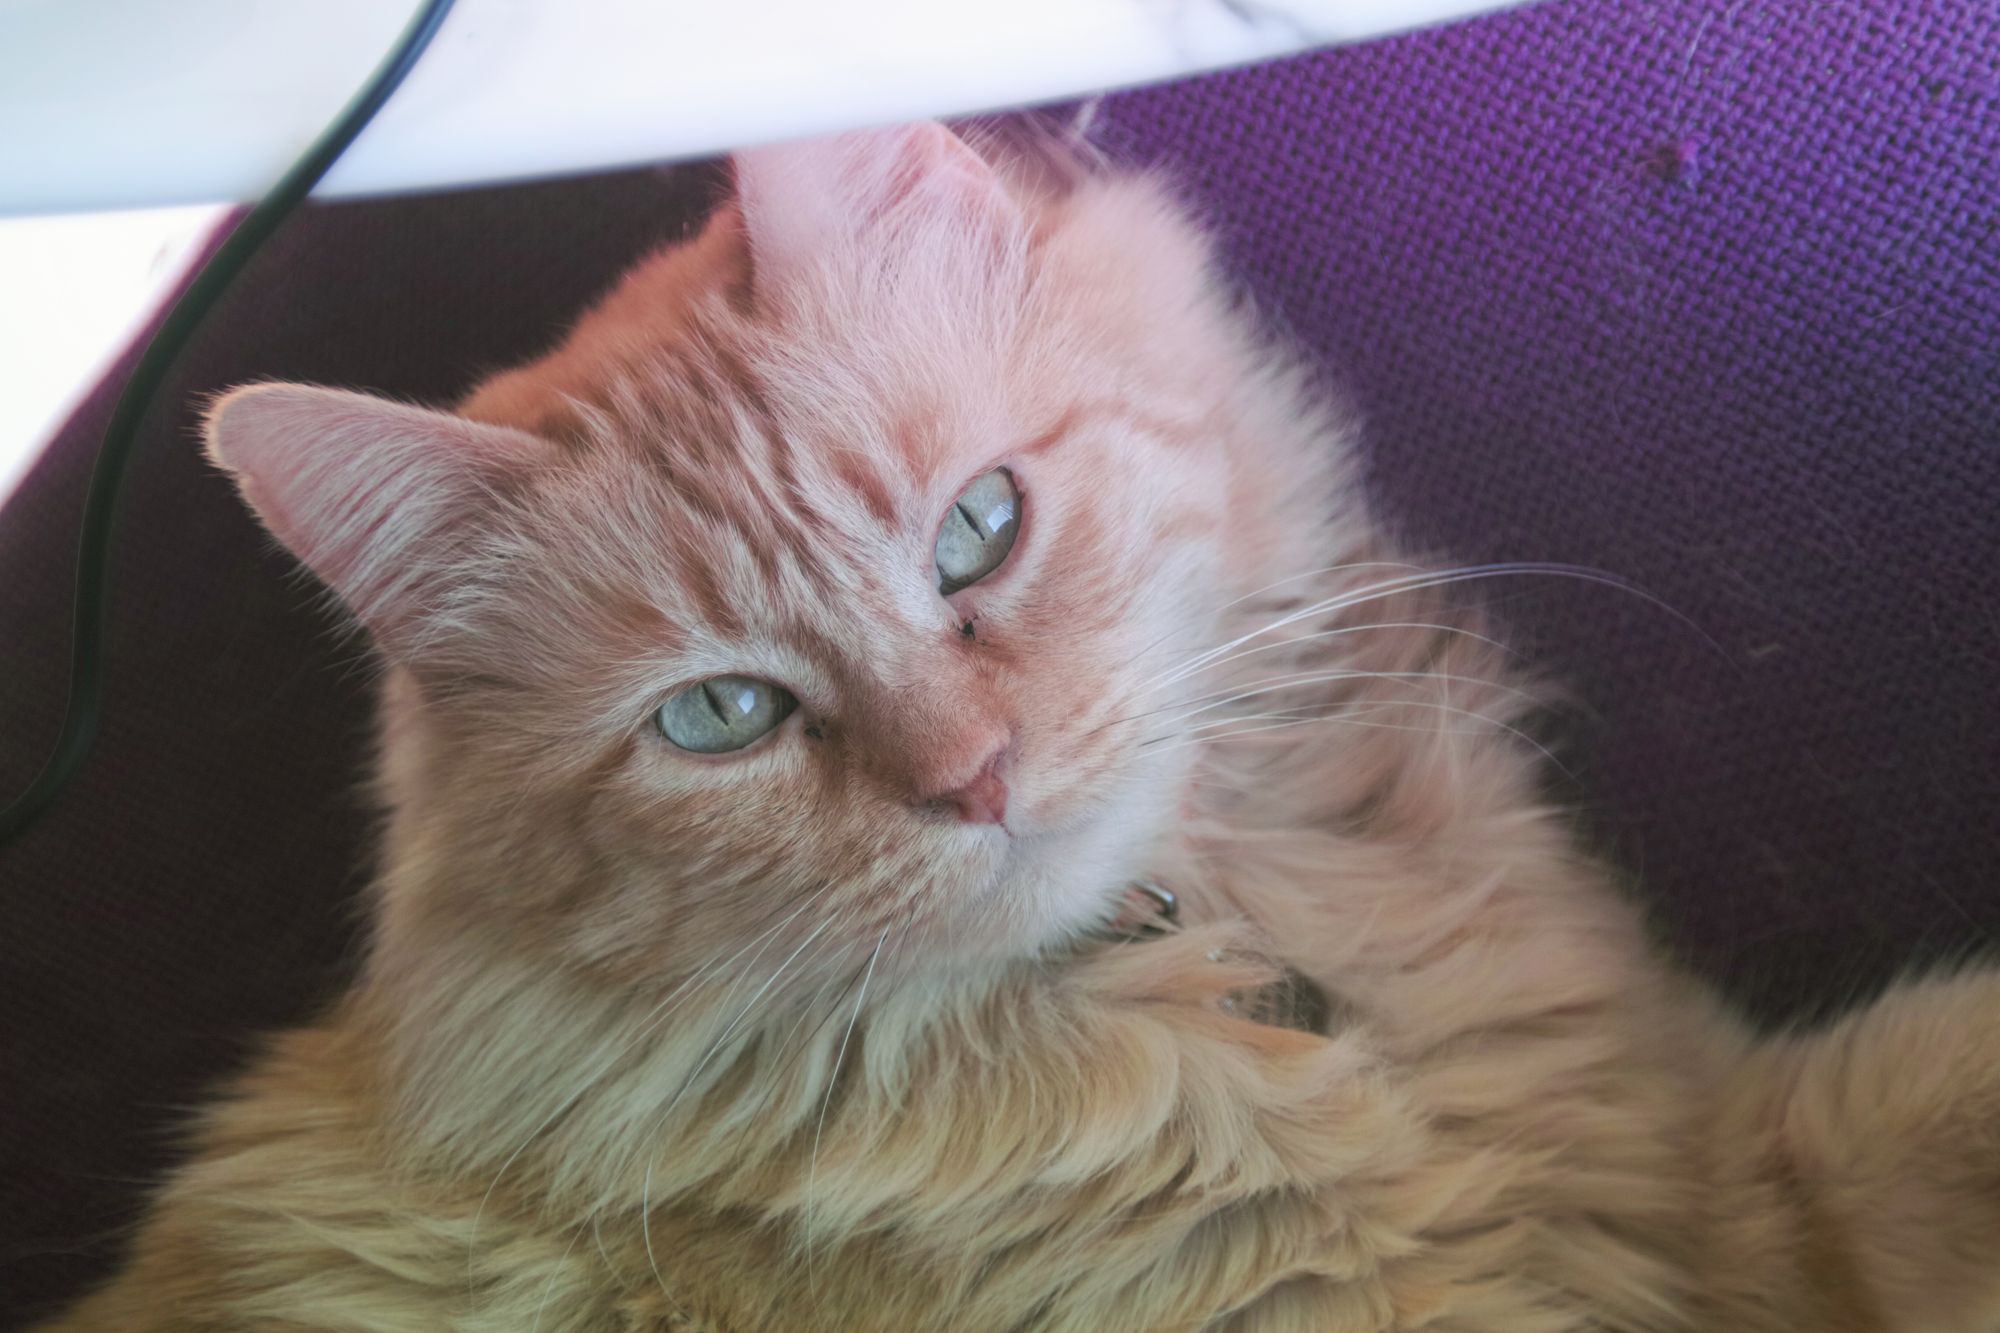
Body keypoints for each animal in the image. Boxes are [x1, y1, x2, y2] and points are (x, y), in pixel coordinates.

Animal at [43, 119, 2000, 1320]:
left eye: (977, 528)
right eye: (723, 715)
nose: (972, 778)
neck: (1227, 980)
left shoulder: (1710, 1171)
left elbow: (1937, 1064)